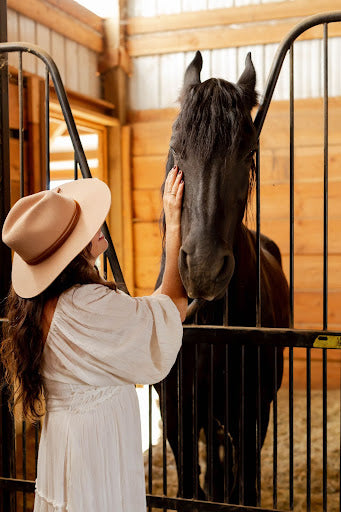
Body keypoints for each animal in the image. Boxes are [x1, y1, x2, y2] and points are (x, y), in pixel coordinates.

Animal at [154, 50, 290, 506]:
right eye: (176, 147)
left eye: (248, 151)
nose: (204, 268)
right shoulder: (176, 419)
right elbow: (190, 490)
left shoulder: (252, 418)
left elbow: (242, 491)